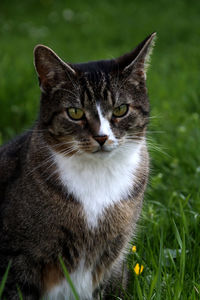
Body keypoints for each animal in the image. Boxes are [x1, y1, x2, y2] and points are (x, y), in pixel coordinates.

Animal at [0, 31, 156, 298]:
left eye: (121, 109)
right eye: (74, 112)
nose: (102, 137)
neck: (98, 176)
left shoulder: (111, 261)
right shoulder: (17, 259)